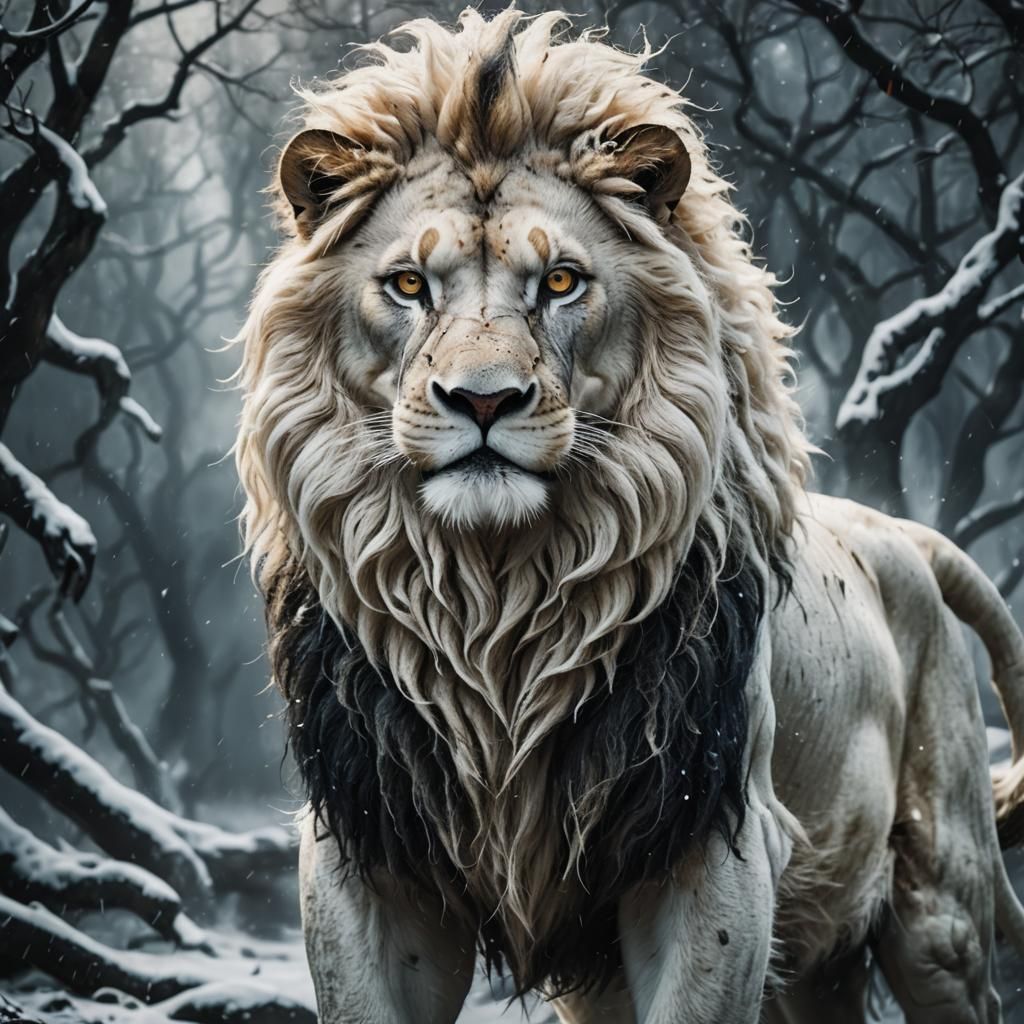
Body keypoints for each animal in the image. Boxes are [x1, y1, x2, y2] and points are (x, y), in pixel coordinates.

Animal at [234, 10, 1024, 1022]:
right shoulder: (368, 850)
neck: (497, 607)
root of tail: (907, 536)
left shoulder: (710, 848)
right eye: (409, 285)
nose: (482, 400)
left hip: (939, 918)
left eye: (561, 282)